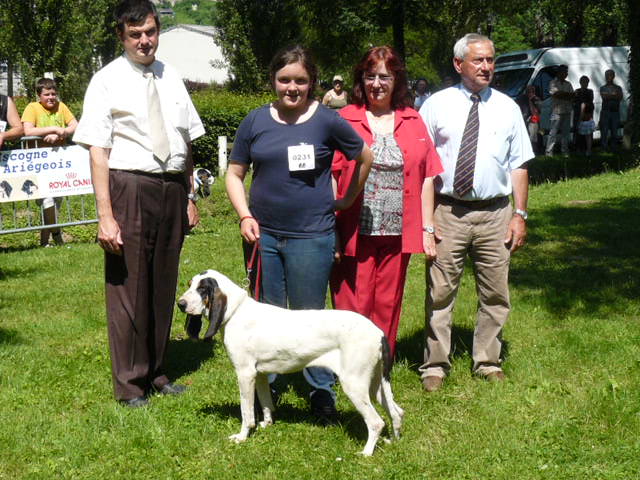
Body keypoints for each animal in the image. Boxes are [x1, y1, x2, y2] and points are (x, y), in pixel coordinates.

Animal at [178, 270, 402, 458]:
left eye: (202, 289)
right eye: (190, 284)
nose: (180, 304)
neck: (236, 312)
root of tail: (378, 332)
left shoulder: (245, 374)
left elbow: (246, 412)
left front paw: (242, 437)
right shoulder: (260, 375)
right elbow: (266, 403)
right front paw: (267, 425)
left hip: (354, 385)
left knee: (376, 422)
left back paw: (366, 453)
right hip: (375, 386)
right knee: (397, 412)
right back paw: (393, 441)